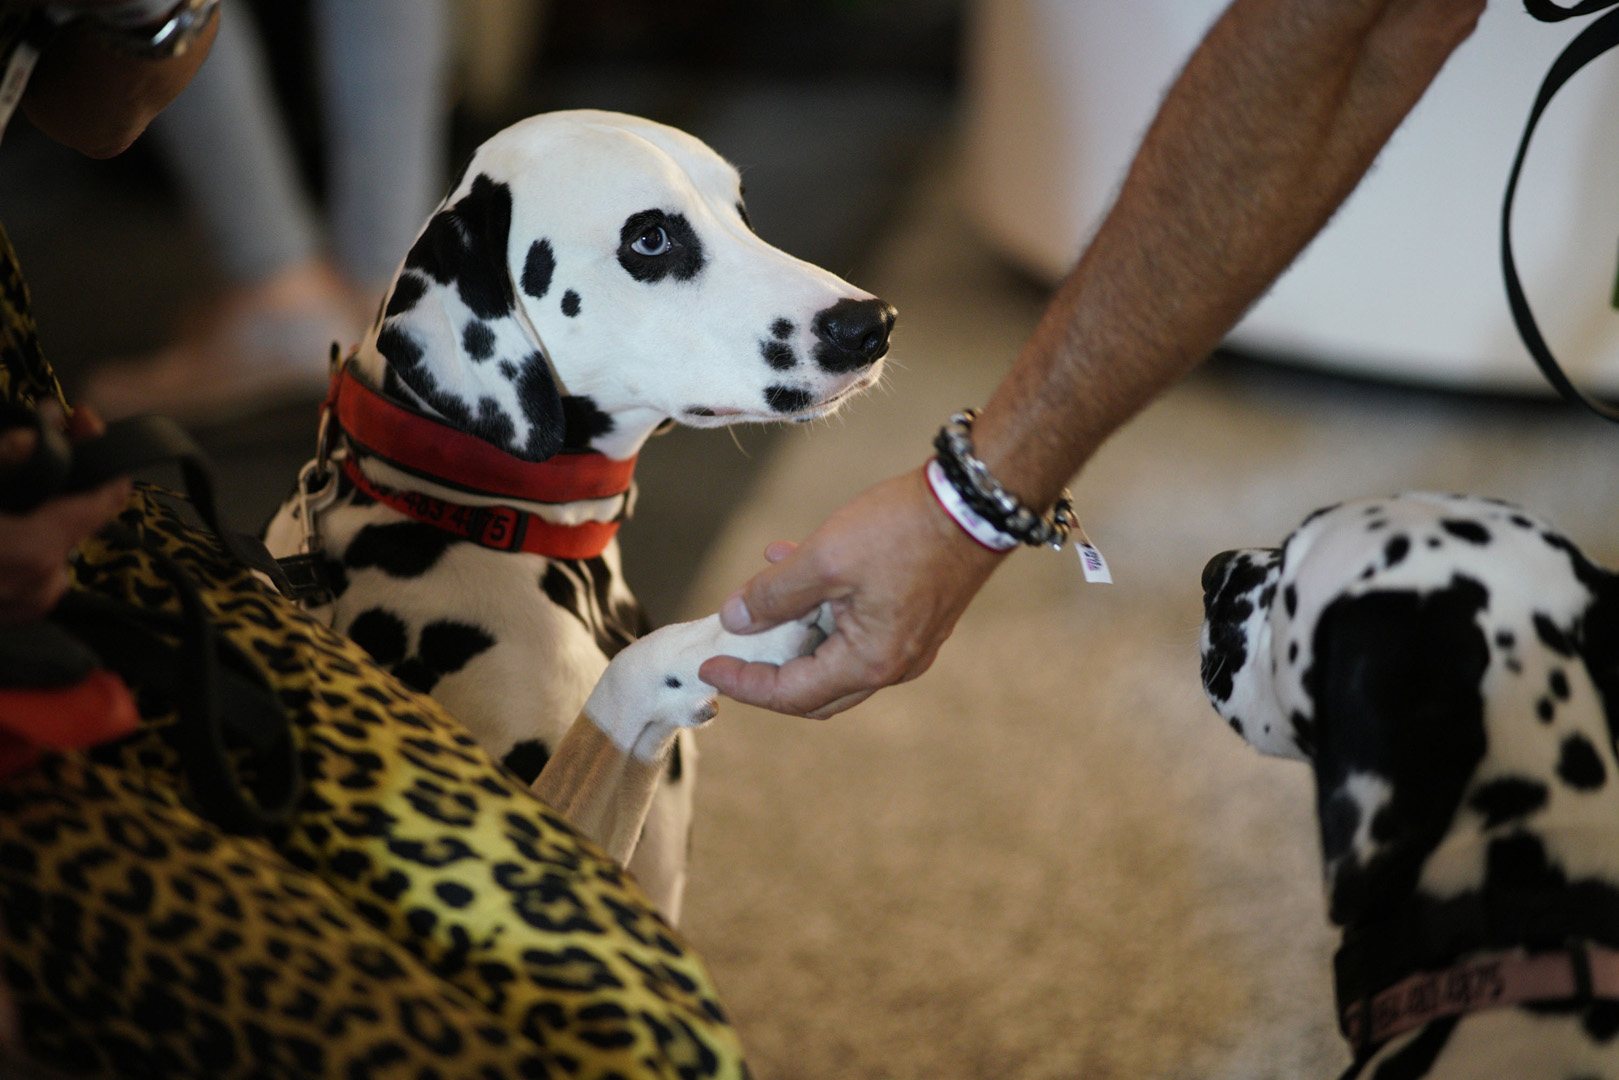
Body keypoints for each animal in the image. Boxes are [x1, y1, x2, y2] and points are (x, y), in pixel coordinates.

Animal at [267, 111, 900, 919]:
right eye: (650, 239)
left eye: (741, 211)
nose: (872, 323)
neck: (474, 504)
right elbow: (630, 675)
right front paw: (748, 632)